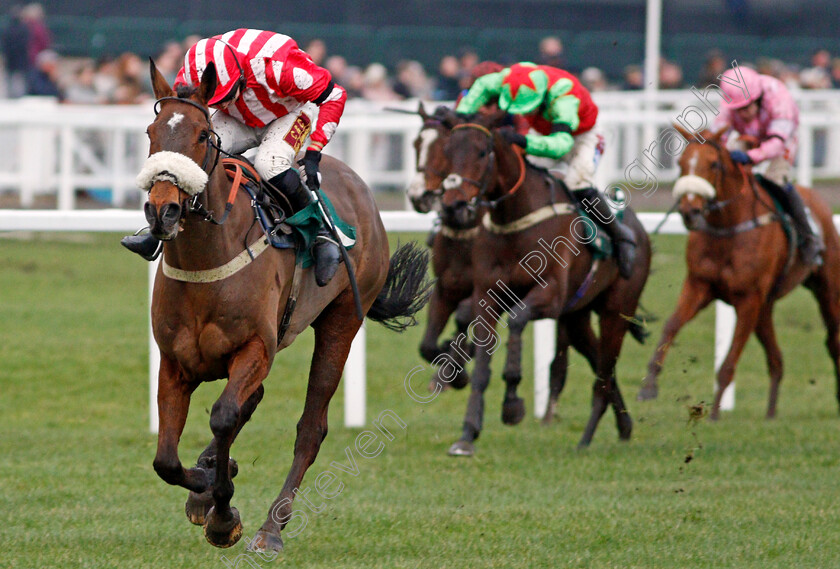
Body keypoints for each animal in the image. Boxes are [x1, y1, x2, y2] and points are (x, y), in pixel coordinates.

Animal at [143, 61, 426, 552]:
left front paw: (223, 514)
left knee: (310, 428)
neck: (207, 259)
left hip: (343, 320)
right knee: (251, 402)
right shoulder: (175, 361)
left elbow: (223, 416)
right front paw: (205, 483)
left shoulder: (256, 347)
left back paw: (271, 529)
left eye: (202, 135)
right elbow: (166, 459)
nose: (163, 212)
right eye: (150, 133)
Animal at [436, 108, 652, 450]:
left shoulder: (550, 295)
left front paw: (512, 403)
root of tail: (639, 228)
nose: (453, 205)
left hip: (616, 310)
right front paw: (467, 434)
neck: (514, 220)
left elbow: (516, 320)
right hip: (577, 315)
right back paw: (624, 426)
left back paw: (586, 440)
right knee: (600, 363)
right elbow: (481, 369)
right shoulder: (487, 295)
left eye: (482, 152)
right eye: (447, 151)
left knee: (604, 372)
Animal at [636, 130, 840, 422]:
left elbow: (729, 360)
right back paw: (770, 415)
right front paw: (649, 386)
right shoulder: (699, 284)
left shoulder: (749, 299)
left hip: (826, 288)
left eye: (713, 164)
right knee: (776, 360)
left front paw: (713, 415)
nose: (689, 212)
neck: (728, 228)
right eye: (680, 163)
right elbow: (671, 325)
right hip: (766, 308)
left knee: (833, 340)